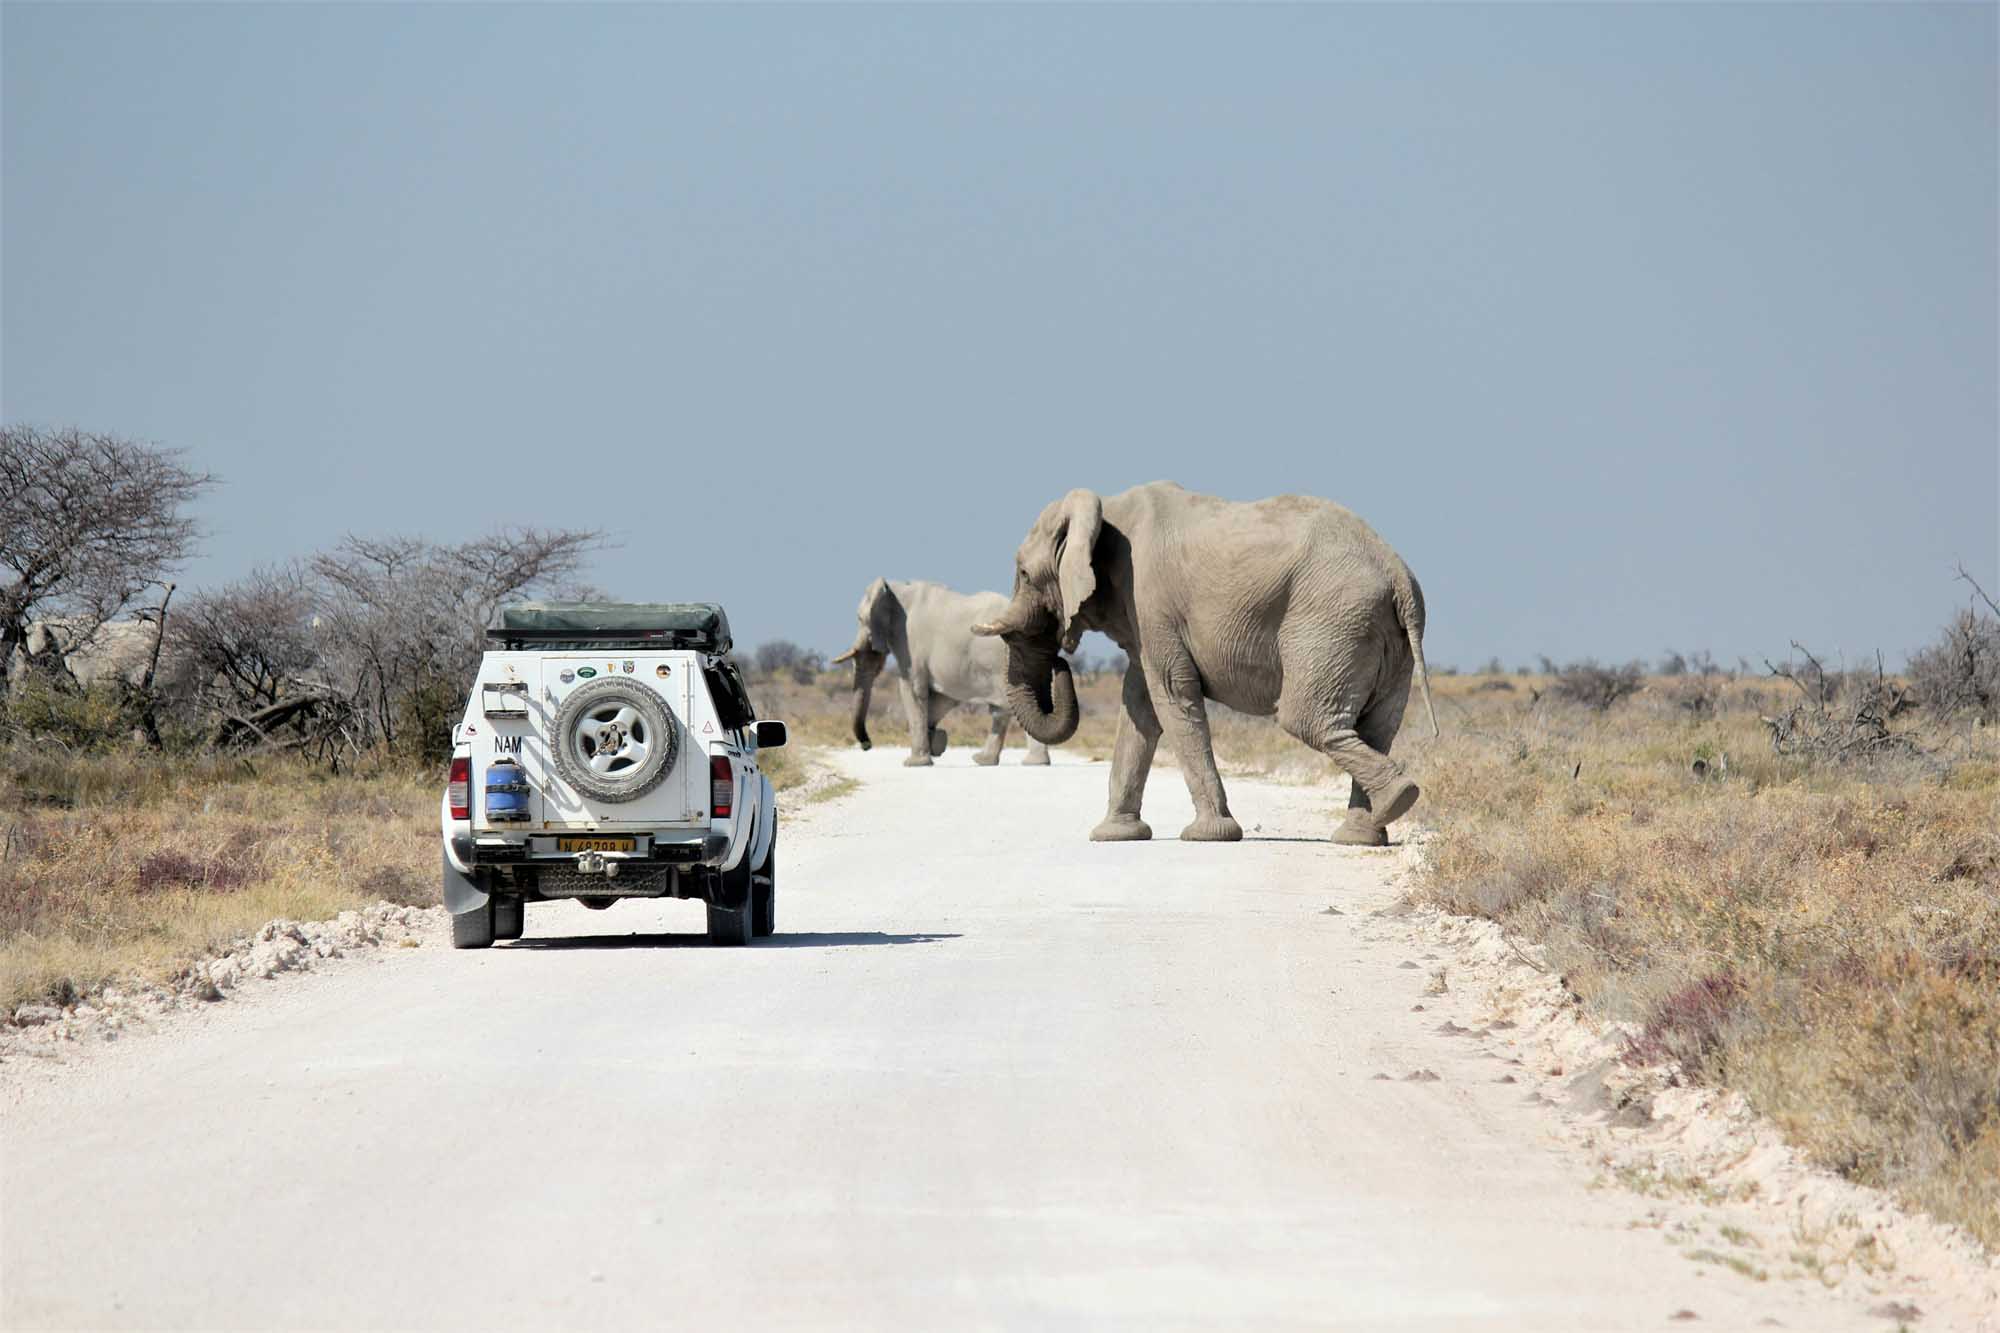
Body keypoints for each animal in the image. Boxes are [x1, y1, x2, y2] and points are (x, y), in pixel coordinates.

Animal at [832, 579, 1053, 768]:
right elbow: (943, 698)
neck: (896, 587)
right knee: (1003, 709)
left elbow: (912, 690)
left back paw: (1033, 763)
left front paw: (914, 764)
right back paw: (985, 761)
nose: (867, 745)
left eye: (860, 618)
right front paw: (935, 744)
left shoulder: (910, 643)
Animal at [971, 481, 1437, 845]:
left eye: (1024, 575)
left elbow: (1171, 697)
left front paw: (1208, 835)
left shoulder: (1150, 601)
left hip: (1332, 621)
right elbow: (1139, 706)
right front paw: (1114, 836)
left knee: (1306, 719)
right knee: (1376, 727)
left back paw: (1398, 798)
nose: (1062, 665)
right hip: (1379, 634)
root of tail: (1399, 576)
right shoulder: (1145, 618)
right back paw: (1365, 831)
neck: (1106, 508)